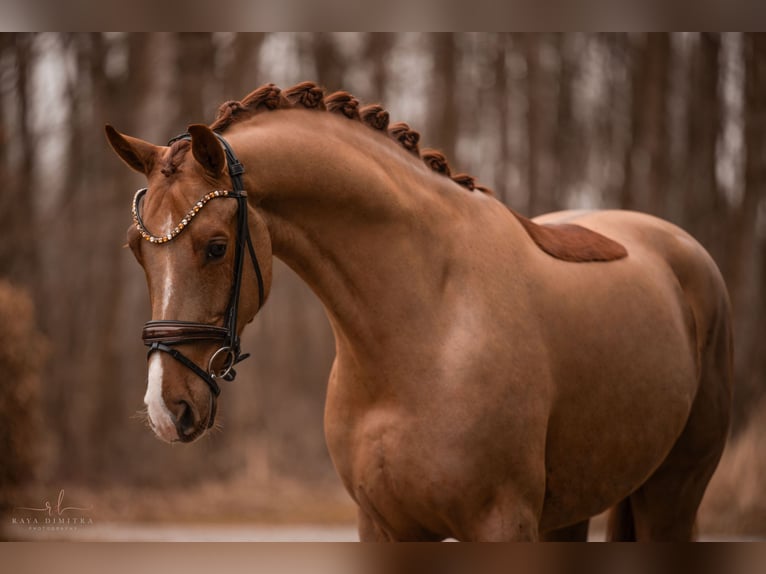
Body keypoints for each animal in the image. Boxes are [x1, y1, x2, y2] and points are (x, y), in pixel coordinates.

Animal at [105, 82, 736, 544]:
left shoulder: (501, 525)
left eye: (215, 246)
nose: (166, 407)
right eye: (136, 250)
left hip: (673, 494)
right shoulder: (384, 528)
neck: (427, 326)